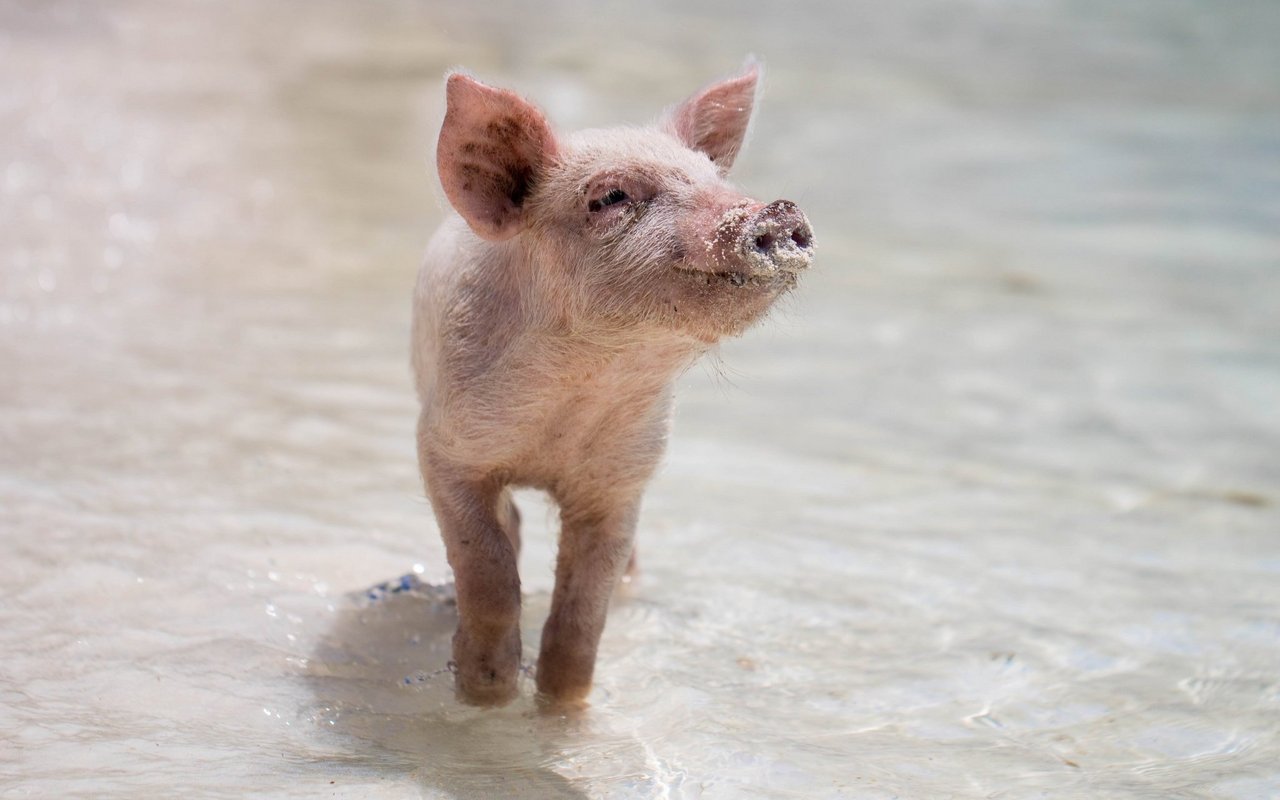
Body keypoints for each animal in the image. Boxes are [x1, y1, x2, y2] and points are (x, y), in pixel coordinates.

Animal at [412, 64, 808, 711]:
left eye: (712, 177)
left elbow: (584, 609)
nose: (777, 210)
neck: (578, 395)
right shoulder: (444, 448)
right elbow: (487, 568)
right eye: (610, 198)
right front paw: (485, 692)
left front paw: (561, 706)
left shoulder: (622, 479)